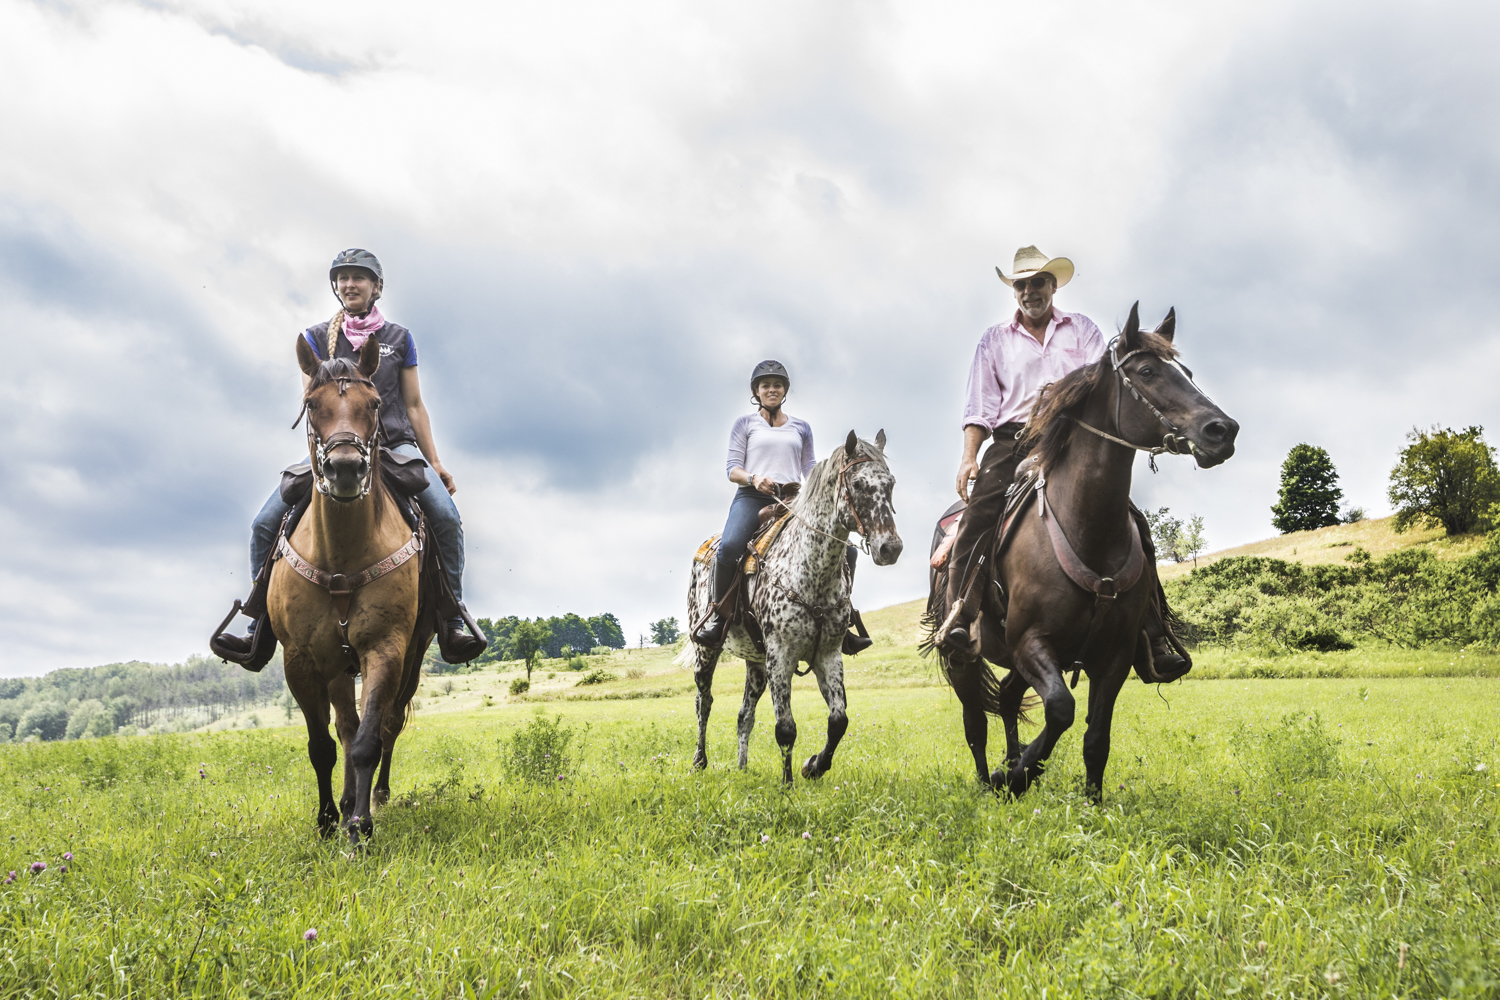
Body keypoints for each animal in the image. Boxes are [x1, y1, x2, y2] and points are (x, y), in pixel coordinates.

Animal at [270, 335, 432, 845]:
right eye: (310, 404)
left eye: (374, 403)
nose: (345, 469)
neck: (340, 555)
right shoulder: (300, 659)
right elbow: (323, 744)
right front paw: (327, 820)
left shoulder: (386, 649)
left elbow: (367, 742)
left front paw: (360, 828)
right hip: (337, 664)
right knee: (345, 724)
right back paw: (342, 805)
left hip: (409, 656)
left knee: (385, 726)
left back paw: (373, 798)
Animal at [684, 431, 900, 779]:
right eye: (857, 484)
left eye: (890, 483)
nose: (890, 548)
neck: (811, 574)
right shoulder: (781, 655)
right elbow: (785, 728)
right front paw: (788, 785)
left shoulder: (828, 654)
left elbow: (838, 721)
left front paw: (814, 766)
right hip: (707, 651)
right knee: (704, 702)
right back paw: (699, 762)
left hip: (756, 662)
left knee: (744, 715)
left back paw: (742, 768)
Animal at [924, 301, 1242, 803]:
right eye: (1148, 371)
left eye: (1187, 372)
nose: (1222, 430)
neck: (1086, 528)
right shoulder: (1032, 642)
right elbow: (1060, 708)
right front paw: (1016, 777)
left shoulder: (1114, 656)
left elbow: (1096, 736)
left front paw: (1087, 799)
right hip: (964, 658)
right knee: (975, 721)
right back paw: (988, 779)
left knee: (1009, 699)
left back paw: (1011, 766)